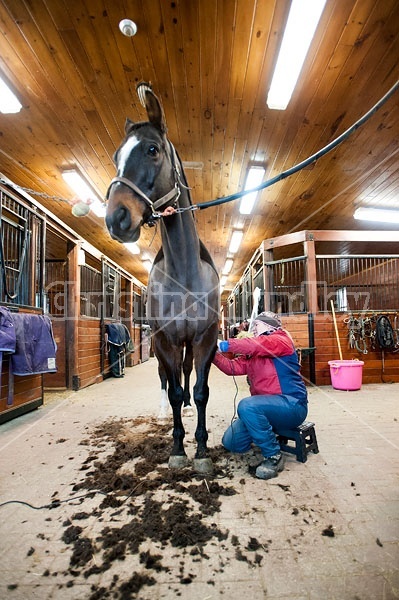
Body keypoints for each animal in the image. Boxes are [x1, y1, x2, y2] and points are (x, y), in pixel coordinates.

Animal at [104, 82, 220, 474]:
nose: (116, 218)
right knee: (165, 381)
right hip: (158, 347)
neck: (184, 275)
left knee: (183, 378)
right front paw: (177, 447)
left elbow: (199, 391)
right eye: (116, 157)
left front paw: (201, 450)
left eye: (152, 149)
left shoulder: (203, 339)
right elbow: (172, 388)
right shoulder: (165, 341)